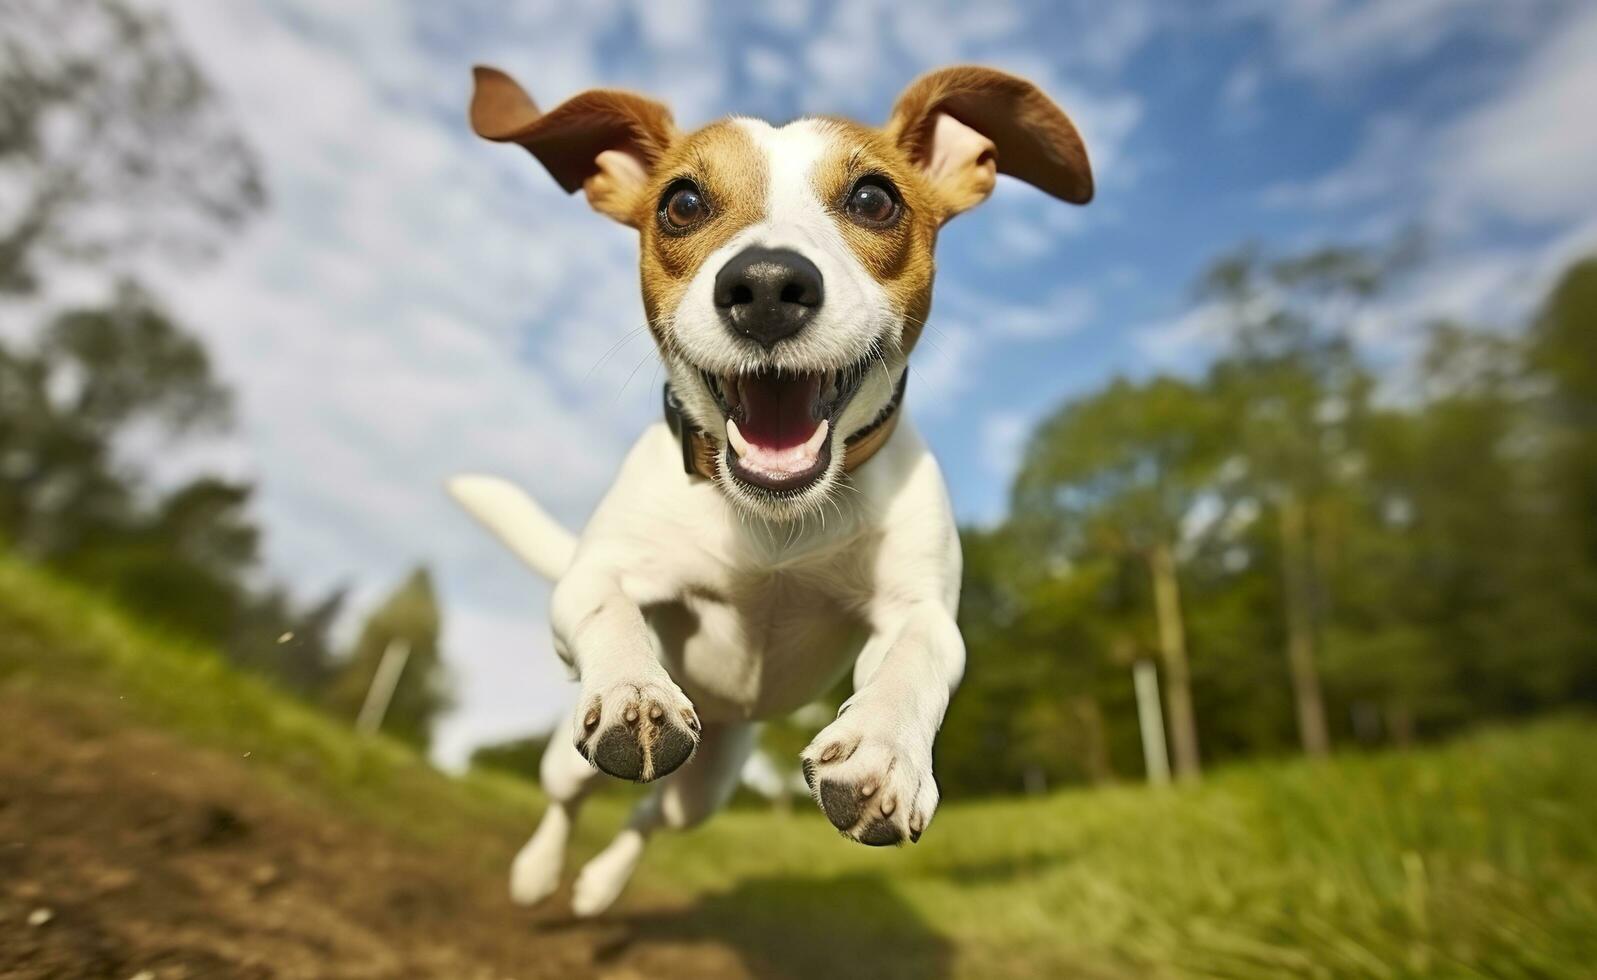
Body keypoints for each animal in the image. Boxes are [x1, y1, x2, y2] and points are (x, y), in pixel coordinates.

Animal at [453, 65, 1098, 919]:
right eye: (682, 203)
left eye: (873, 199)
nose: (763, 285)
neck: (773, 522)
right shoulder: (596, 576)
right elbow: (607, 610)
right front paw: (632, 686)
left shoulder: (918, 611)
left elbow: (918, 657)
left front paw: (884, 751)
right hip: (576, 751)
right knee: (570, 792)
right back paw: (539, 871)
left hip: (713, 778)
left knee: (652, 814)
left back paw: (598, 885)